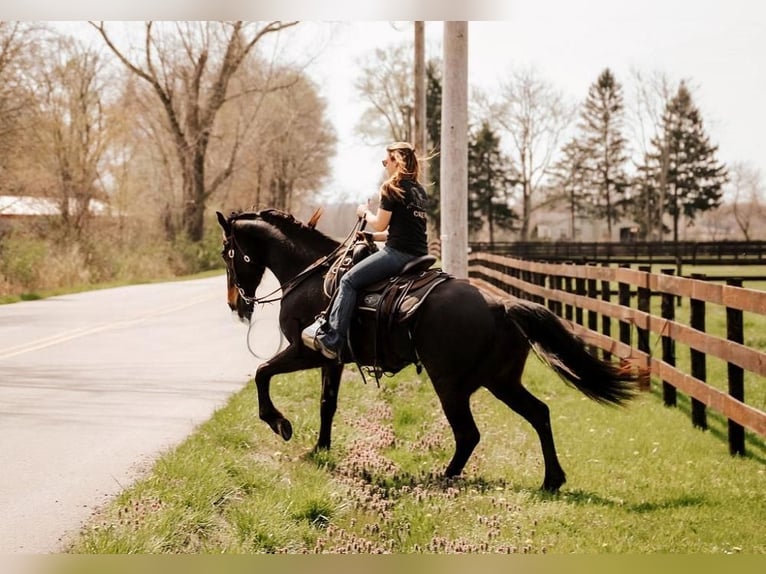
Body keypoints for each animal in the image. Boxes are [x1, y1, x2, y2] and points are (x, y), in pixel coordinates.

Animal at [218, 209, 640, 492]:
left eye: (228, 253)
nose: (235, 304)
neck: (311, 274)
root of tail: (503, 307)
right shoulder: (329, 359)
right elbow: (327, 403)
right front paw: (319, 449)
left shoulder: (305, 352)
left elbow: (263, 373)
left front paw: (280, 424)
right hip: (501, 381)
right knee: (539, 414)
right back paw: (551, 479)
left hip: (451, 384)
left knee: (469, 433)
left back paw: (444, 477)